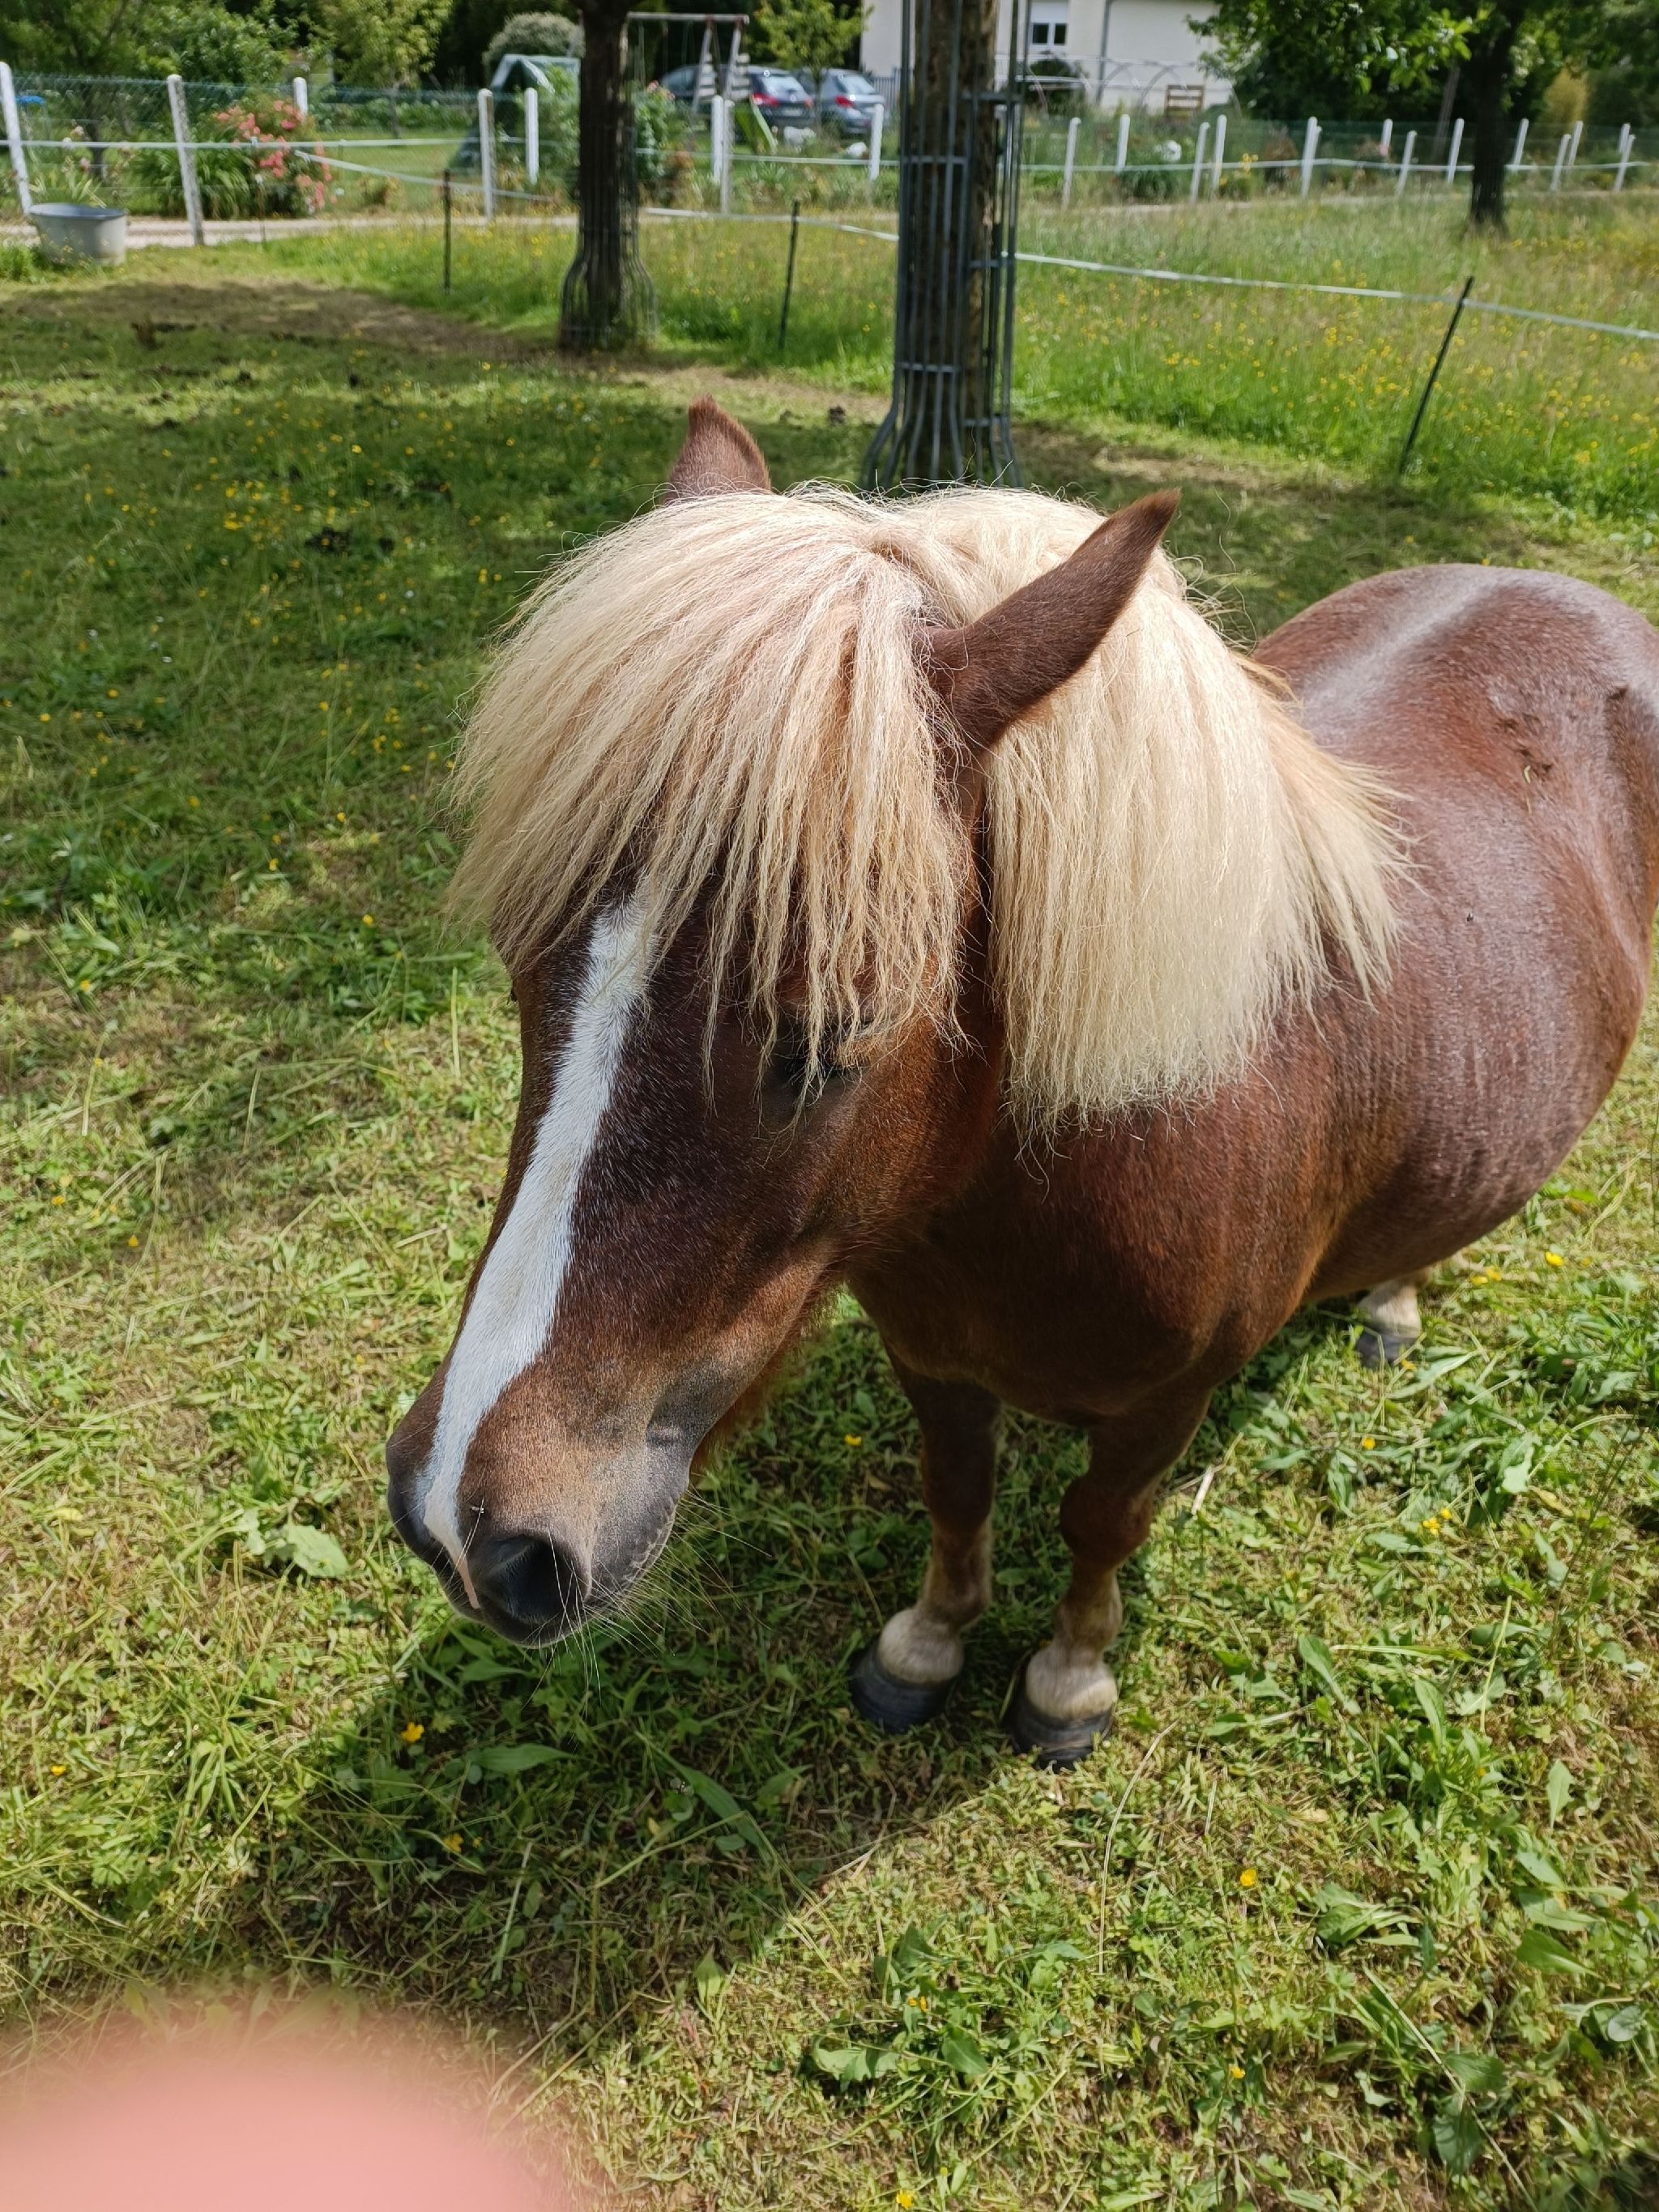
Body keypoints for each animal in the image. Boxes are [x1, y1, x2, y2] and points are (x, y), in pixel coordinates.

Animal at [386, 398, 1659, 1763]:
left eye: (834, 1031)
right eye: (522, 967)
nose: (469, 1528)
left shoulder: (1170, 1399)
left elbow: (1103, 1522)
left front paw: (1068, 1677)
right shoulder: (931, 1355)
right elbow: (957, 1490)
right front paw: (928, 1642)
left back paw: (1391, 1303)